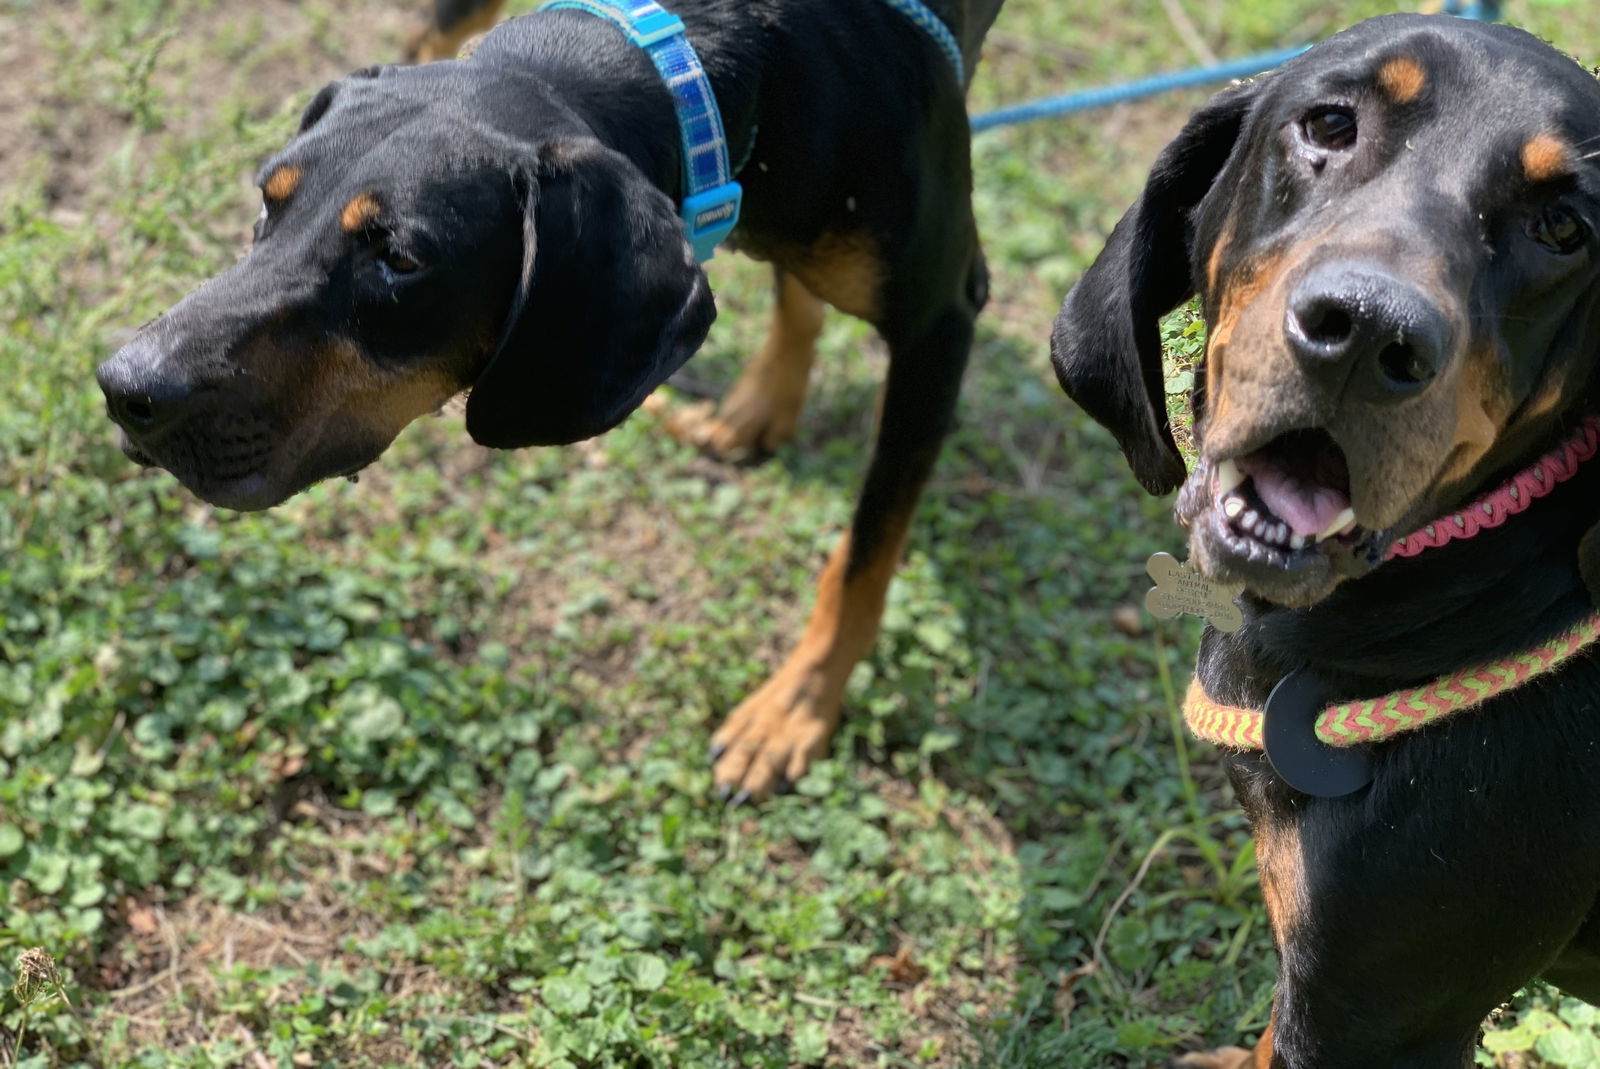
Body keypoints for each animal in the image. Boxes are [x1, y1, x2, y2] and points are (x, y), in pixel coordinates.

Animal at [96, 0, 998, 800]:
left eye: (400, 258)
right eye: (268, 198)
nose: (125, 388)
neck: (707, 69)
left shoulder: (943, 320)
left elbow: (864, 555)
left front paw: (795, 708)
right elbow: (795, 293)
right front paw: (767, 397)